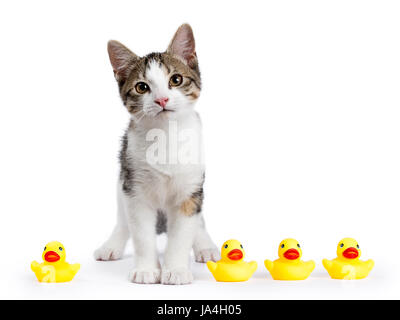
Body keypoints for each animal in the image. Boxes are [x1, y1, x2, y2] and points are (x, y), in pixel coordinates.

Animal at [94, 25, 219, 284]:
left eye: (176, 79)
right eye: (142, 87)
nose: (162, 99)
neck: (165, 134)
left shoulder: (190, 189)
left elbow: (183, 232)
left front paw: (176, 269)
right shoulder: (134, 189)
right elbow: (141, 232)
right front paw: (146, 270)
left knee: (198, 221)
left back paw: (205, 245)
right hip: (121, 181)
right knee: (123, 220)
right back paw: (111, 245)